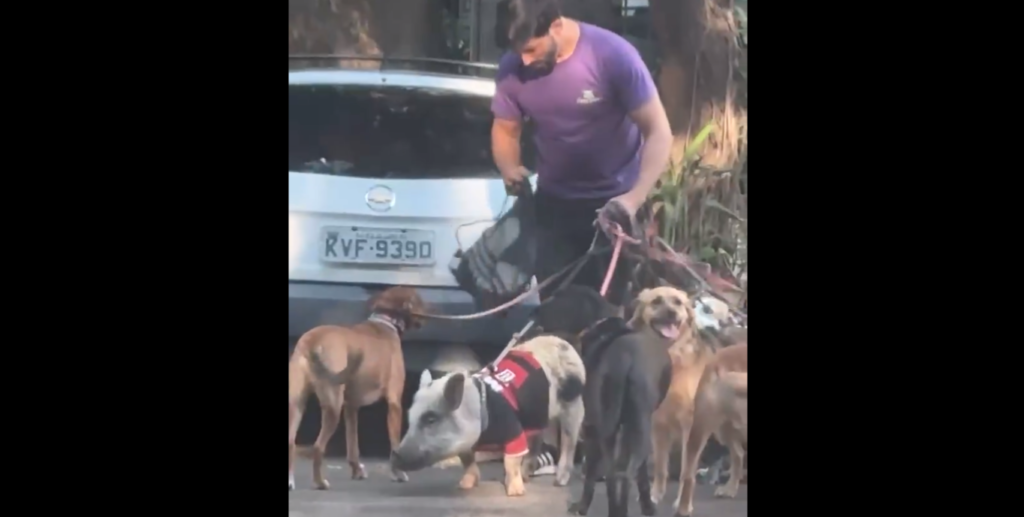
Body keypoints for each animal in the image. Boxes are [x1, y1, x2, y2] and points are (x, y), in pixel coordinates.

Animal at [286, 284, 421, 489]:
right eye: (420, 299)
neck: (385, 322)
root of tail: (312, 341)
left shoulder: (351, 407)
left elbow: (352, 445)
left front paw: (357, 470)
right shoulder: (394, 403)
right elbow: (395, 444)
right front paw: (398, 473)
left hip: (297, 403)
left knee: (290, 441)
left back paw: (290, 480)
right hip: (332, 406)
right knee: (318, 446)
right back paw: (320, 482)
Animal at [389, 333, 585, 495]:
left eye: (430, 419)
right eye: (410, 418)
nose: (395, 454)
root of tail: (566, 345)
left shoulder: (512, 428)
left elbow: (511, 461)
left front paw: (515, 493)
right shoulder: (467, 444)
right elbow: (467, 461)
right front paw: (464, 486)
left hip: (573, 402)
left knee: (569, 441)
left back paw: (559, 481)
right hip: (537, 416)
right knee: (536, 443)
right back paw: (527, 476)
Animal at [569, 315, 671, 515]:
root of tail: (626, 359)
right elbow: (641, 475)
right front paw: (648, 506)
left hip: (608, 432)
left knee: (611, 475)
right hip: (637, 432)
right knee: (624, 476)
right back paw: (620, 510)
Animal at [622, 286, 720, 507]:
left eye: (677, 302)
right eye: (656, 301)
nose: (671, 313)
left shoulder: (691, 426)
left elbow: (686, 471)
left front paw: (683, 504)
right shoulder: (658, 426)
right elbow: (660, 467)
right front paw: (655, 495)